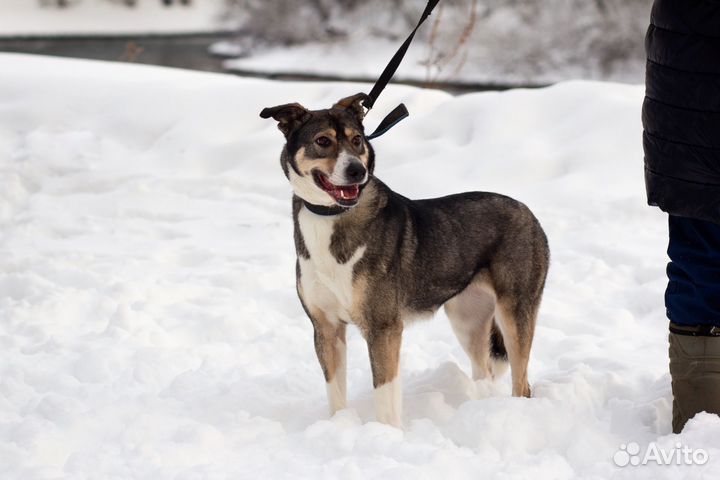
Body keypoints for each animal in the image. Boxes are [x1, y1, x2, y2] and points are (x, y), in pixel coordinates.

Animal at [262, 94, 548, 428]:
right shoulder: (326, 328)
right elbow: (335, 393)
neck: (331, 217)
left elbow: (385, 395)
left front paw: (386, 434)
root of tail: (528, 212)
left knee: (522, 383)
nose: (357, 171)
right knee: (485, 370)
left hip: (515, 311)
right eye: (323, 141)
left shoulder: (383, 328)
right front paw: (339, 426)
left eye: (357, 140)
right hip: (467, 317)